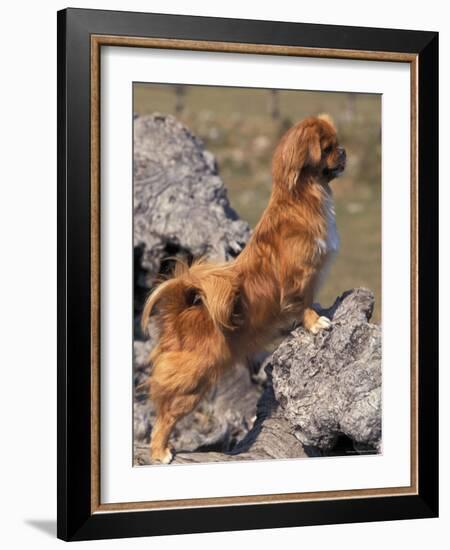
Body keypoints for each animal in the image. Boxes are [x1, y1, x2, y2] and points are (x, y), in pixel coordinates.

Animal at [142, 114, 346, 464]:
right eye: (328, 148)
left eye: (337, 145)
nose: (344, 151)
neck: (304, 199)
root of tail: (179, 316)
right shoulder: (300, 277)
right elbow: (303, 301)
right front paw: (314, 323)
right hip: (193, 384)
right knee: (165, 415)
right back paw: (160, 451)